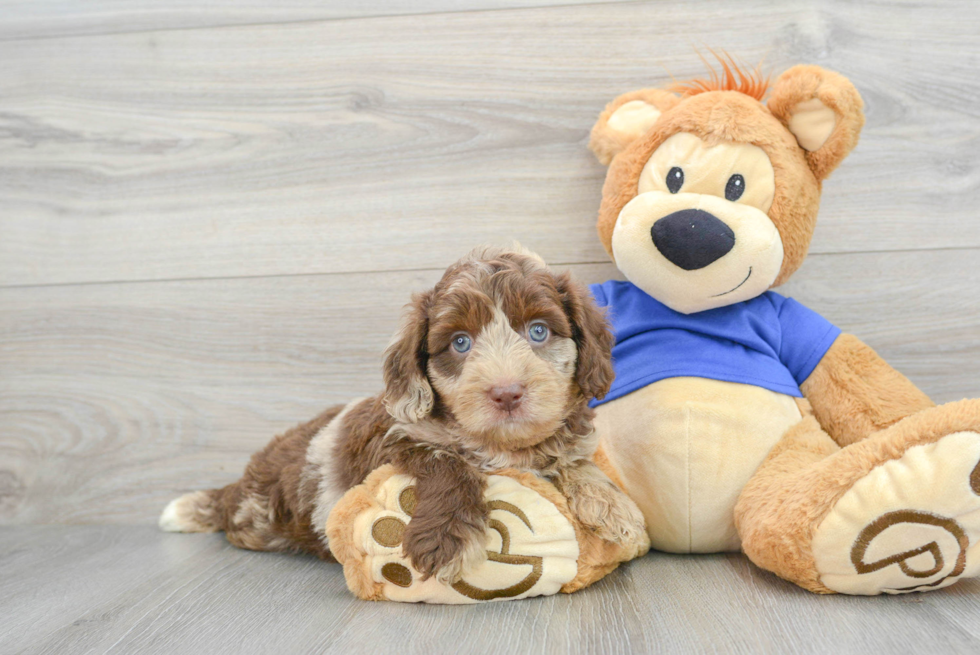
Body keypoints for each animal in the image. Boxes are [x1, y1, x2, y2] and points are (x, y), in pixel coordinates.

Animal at [161, 247, 648, 584]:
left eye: (539, 331)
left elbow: (572, 457)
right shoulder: (392, 437)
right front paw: (445, 540)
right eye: (460, 342)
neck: (497, 445)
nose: (506, 393)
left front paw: (615, 508)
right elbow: (447, 460)